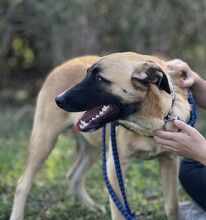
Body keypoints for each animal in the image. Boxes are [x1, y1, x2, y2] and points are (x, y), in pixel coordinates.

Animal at [55, 52, 191, 220]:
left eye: (98, 78)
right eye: (87, 74)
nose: (58, 99)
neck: (150, 124)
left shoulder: (170, 161)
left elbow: (172, 207)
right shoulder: (114, 167)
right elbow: (119, 211)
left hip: (93, 149)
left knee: (73, 176)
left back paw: (92, 208)